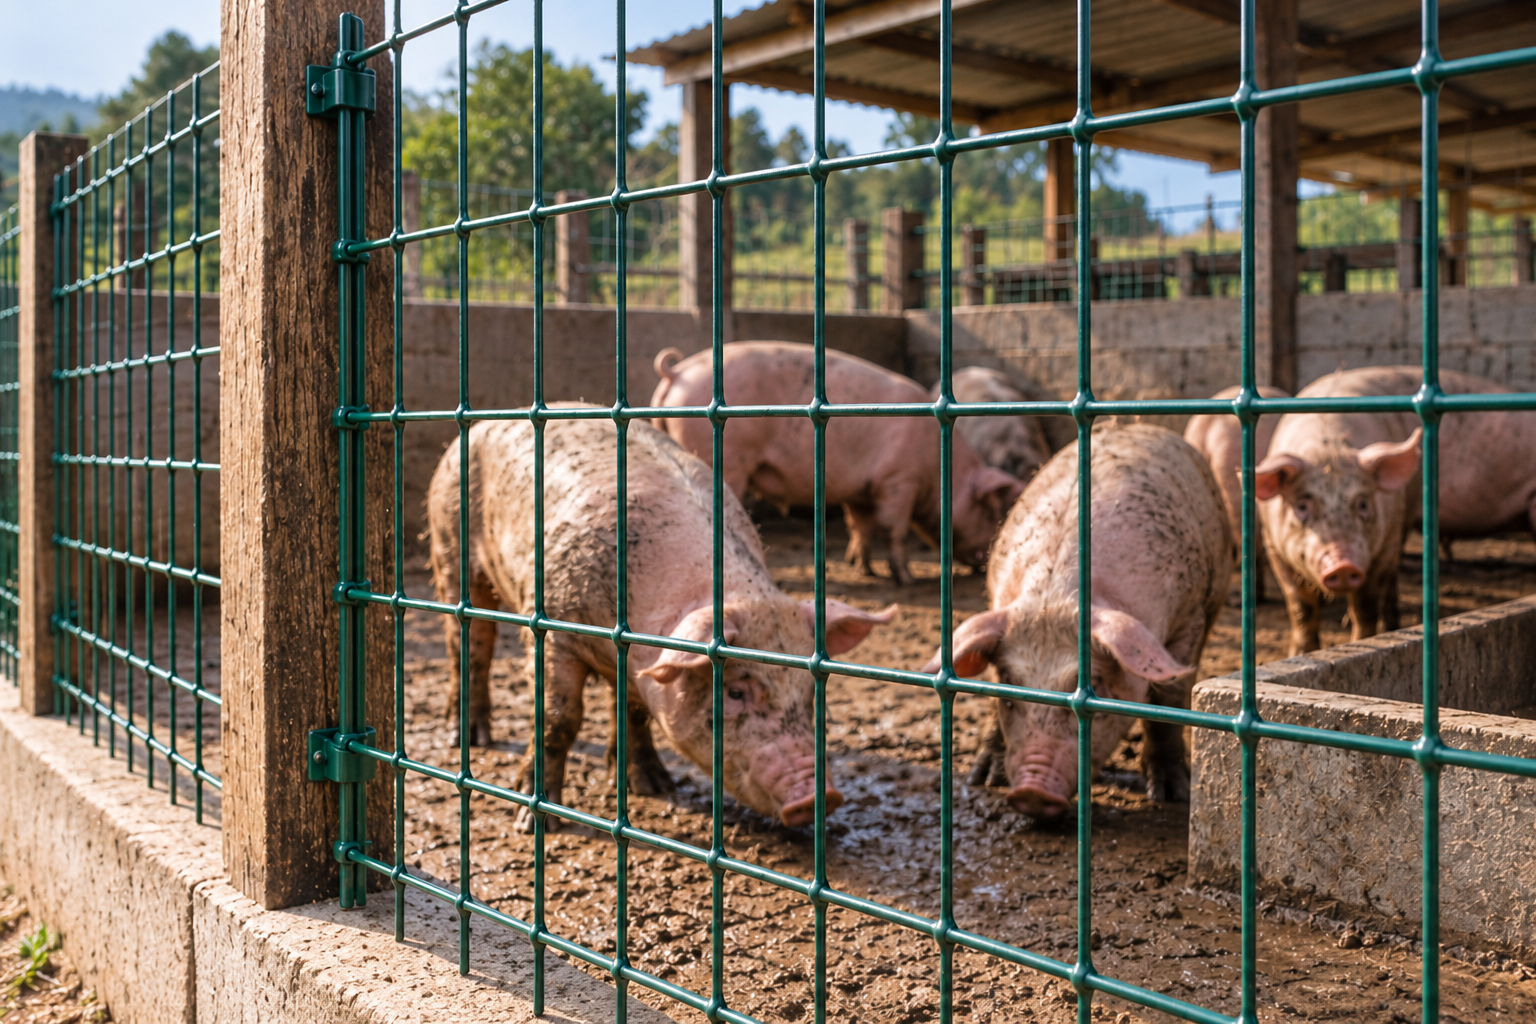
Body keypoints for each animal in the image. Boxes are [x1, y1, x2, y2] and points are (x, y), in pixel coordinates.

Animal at [426, 406, 894, 829]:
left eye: (810, 694)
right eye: (736, 692)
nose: (821, 797)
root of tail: (480, 424)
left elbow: (634, 713)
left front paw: (655, 787)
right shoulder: (554, 630)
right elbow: (558, 719)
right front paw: (533, 821)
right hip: (449, 543)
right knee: (469, 642)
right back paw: (467, 737)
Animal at [651, 342, 1025, 585]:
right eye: (991, 511)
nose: (983, 565)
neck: (941, 470)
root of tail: (678, 372)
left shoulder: (861, 491)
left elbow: (860, 527)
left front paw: (864, 570)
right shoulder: (897, 480)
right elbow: (893, 528)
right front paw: (906, 580)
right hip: (726, 459)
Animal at [924, 424, 1232, 818]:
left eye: (1094, 687)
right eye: (1008, 686)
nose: (1031, 792)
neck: (1053, 599)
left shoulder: (1188, 617)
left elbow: (1170, 701)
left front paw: (1171, 794)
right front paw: (983, 780)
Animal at [1258, 365, 1536, 654]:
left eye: (1363, 503)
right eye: (1301, 506)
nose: (1343, 563)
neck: (1328, 449)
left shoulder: (1384, 543)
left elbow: (1365, 605)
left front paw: (1361, 643)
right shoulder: (1273, 545)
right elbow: (1302, 609)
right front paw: (1302, 653)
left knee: (1390, 578)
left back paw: (1391, 628)